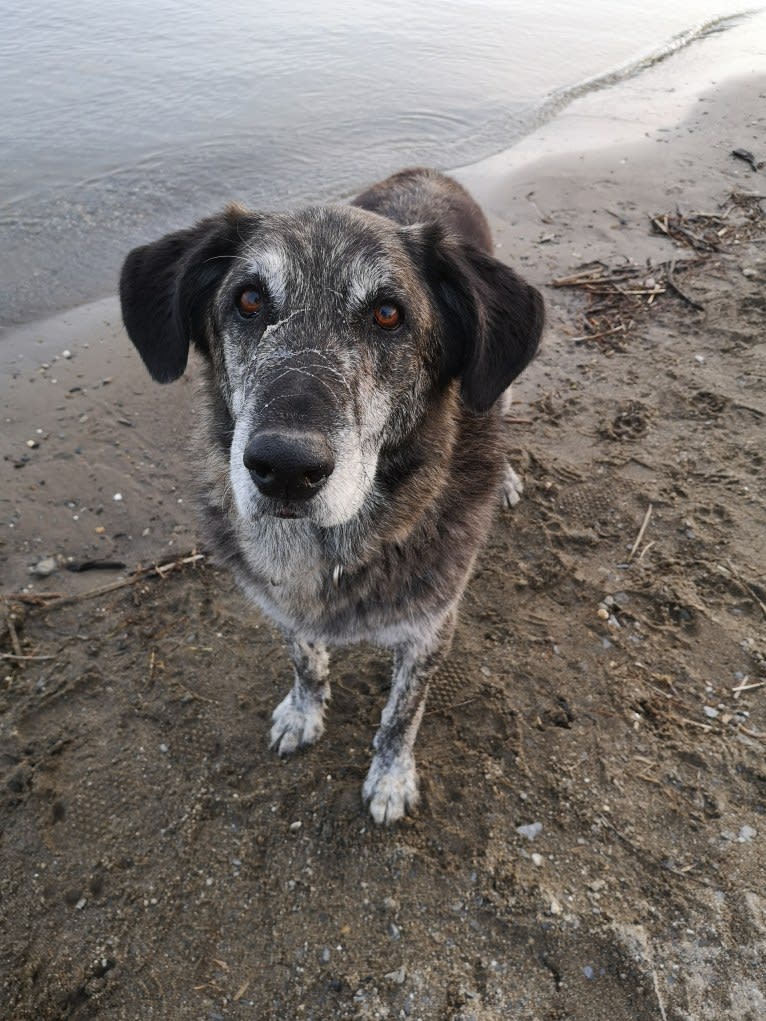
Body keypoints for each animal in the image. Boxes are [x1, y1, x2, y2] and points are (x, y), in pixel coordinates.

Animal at [120, 167, 547, 820]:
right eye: (248, 300)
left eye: (389, 314)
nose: (285, 468)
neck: (340, 544)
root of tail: (427, 172)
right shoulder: (283, 603)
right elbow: (305, 658)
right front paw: (304, 712)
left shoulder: (430, 630)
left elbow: (401, 714)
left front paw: (391, 777)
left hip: (498, 385)